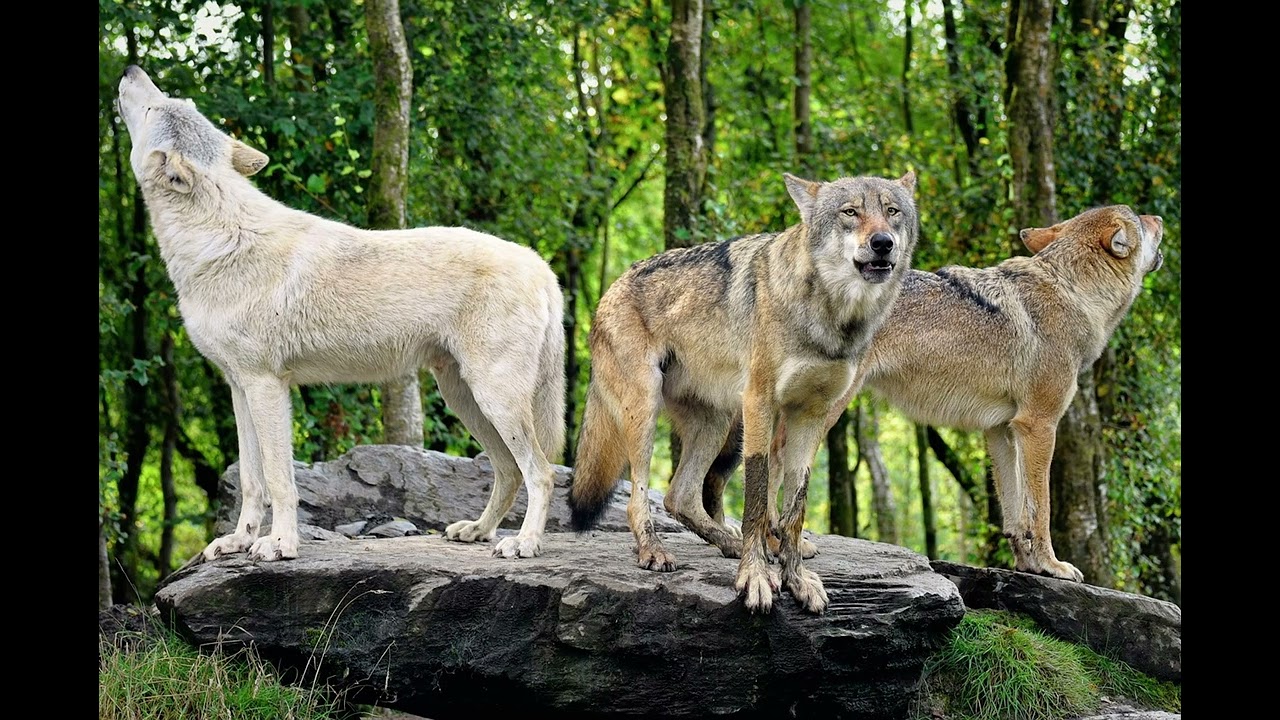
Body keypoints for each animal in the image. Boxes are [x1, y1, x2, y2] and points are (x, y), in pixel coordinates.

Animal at [115, 65, 566, 563]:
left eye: (157, 106)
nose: (130, 69)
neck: (219, 239)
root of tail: (540, 263)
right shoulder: (239, 387)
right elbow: (253, 481)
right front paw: (239, 541)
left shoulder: (267, 387)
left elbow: (280, 481)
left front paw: (280, 545)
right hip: (464, 398)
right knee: (508, 471)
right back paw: (478, 531)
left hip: (494, 399)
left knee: (541, 472)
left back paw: (524, 543)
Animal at [567, 170, 919, 613]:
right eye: (850, 212)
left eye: (892, 211)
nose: (882, 242)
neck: (831, 317)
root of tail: (610, 289)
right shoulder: (760, 403)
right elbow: (757, 496)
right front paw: (756, 576)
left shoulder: (812, 415)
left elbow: (795, 507)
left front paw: (795, 577)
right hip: (647, 413)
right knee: (641, 496)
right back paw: (655, 551)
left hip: (716, 425)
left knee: (679, 497)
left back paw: (729, 544)